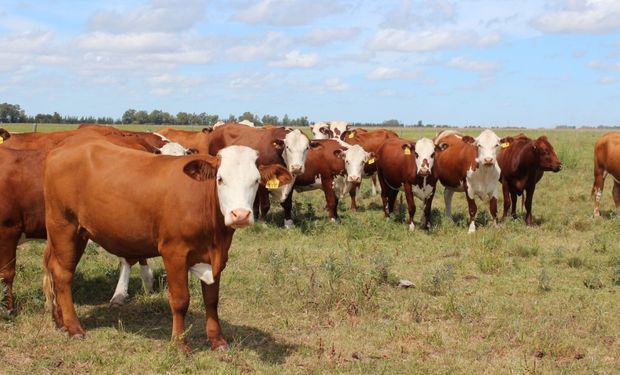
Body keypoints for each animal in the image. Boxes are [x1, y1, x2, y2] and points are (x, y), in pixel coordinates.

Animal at [43, 141, 290, 352]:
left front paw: (217, 341)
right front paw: (180, 344)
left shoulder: (214, 257)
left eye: (256, 180)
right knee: (63, 274)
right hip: (64, 227)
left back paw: (60, 321)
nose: (240, 215)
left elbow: (212, 300)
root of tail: (61, 150)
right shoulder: (174, 253)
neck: (215, 236)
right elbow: (180, 300)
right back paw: (74, 327)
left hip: (75, 233)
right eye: (220, 179)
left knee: (53, 268)